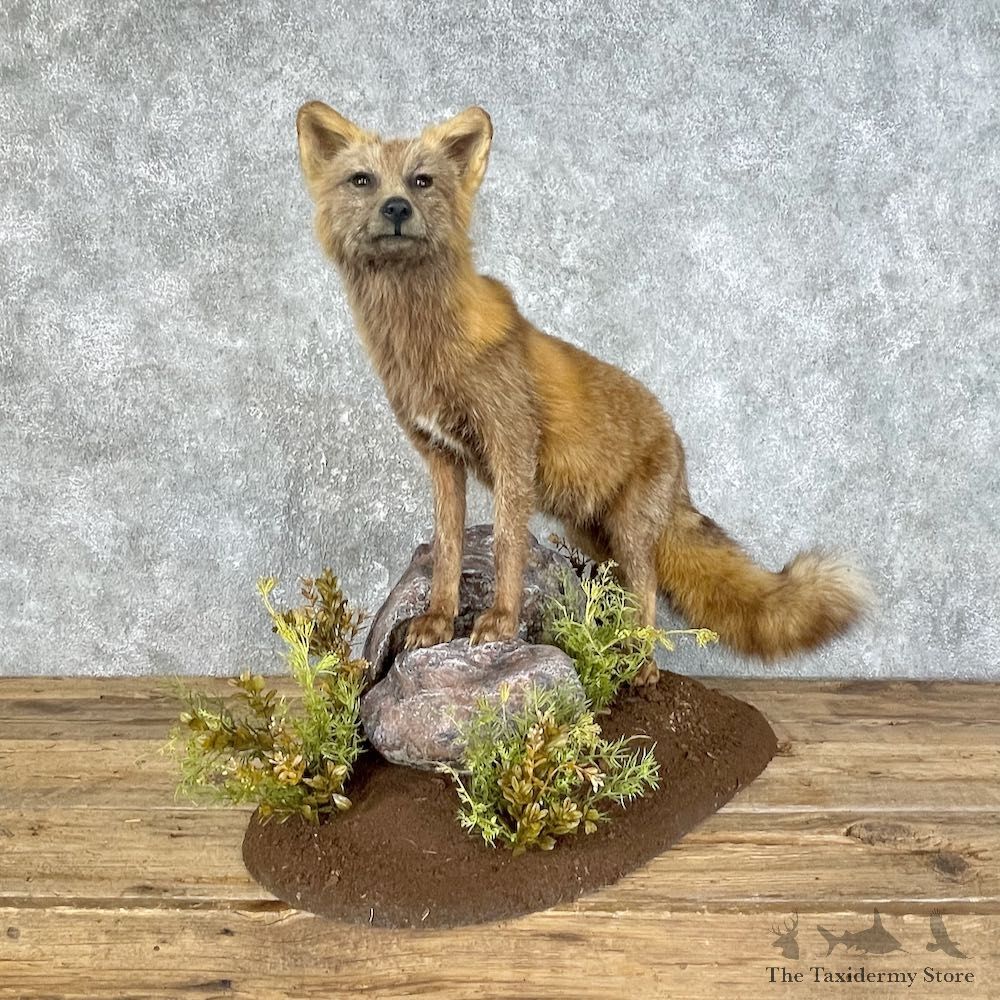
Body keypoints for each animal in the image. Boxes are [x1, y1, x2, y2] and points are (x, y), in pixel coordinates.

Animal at [295, 102, 871, 683]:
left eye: (421, 181)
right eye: (362, 180)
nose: (396, 208)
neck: (424, 346)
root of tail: (673, 437)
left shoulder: (512, 447)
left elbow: (506, 545)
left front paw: (501, 622)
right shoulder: (441, 458)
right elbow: (448, 549)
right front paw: (438, 620)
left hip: (631, 535)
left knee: (647, 590)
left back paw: (639, 664)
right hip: (594, 536)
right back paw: (610, 651)